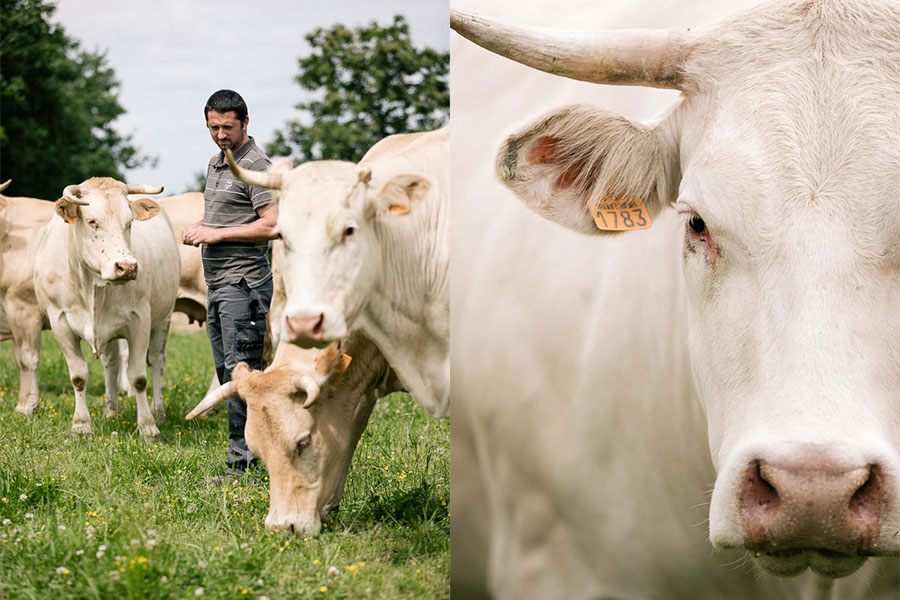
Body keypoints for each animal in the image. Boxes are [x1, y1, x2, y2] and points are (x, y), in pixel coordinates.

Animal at [34, 176, 180, 438]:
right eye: (92, 221)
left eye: (130, 222)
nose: (127, 267)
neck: (91, 284)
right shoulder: (60, 321)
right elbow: (78, 376)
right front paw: (81, 425)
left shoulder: (140, 320)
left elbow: (138, 377)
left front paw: (148, 427)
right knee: (111, 364)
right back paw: (111, 410)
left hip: (164, 318)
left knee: (156, 361)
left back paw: (159, 411)